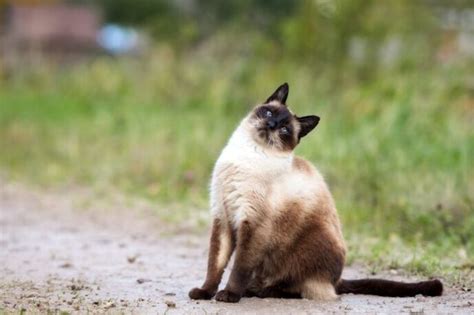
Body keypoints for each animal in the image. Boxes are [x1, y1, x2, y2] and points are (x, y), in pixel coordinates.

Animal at [187, 84, 442, 304]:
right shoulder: (223, 216)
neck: (246, 156)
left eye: (285, 129)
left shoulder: (252, 224)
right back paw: (253, 289)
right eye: (269, 112)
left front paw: (229, 295)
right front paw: (204, 293)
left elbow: (239, 268)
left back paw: (260, 291)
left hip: (308, 245)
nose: (271, 124)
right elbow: (215, 265)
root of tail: (337, 280)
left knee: (302, 289)